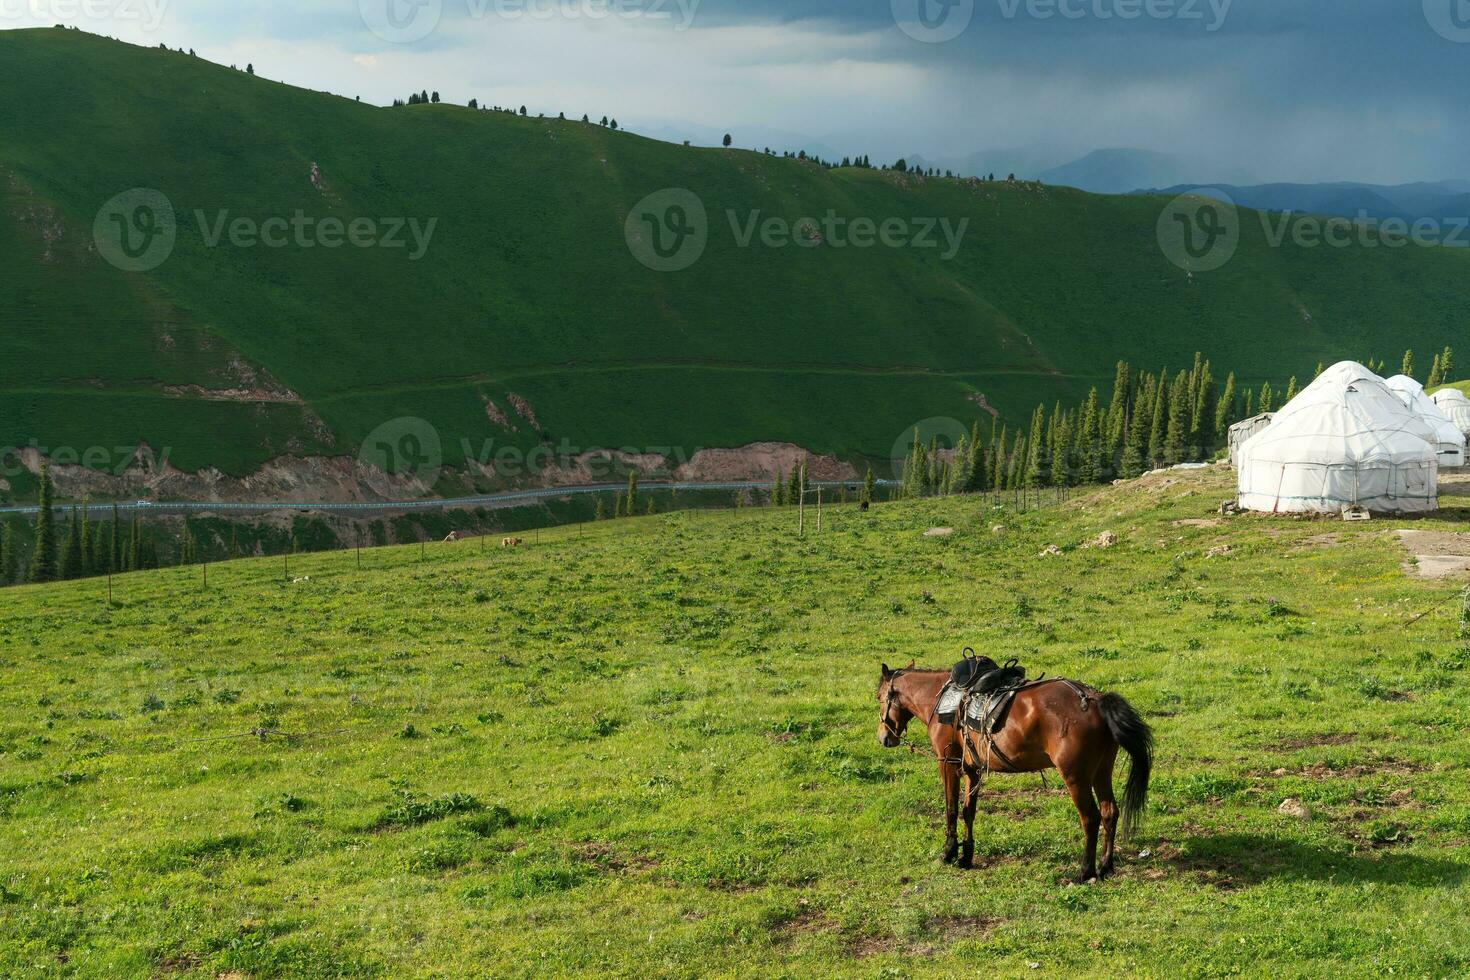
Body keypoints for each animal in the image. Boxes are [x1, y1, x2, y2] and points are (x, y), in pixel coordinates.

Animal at [876, 667, 1152, 881]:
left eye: (879, 697)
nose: (884, 737)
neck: (942, 700)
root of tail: (1094, 699)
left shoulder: (948, 762)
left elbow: (951, 809)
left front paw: (948, 852)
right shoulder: (973, 769)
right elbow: (968, 811)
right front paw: (966, 856)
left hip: (1076, 777)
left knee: (1091, 818)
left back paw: (1086, 871)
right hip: (1101, 771)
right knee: (1109, 812)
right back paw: (1105, 866)